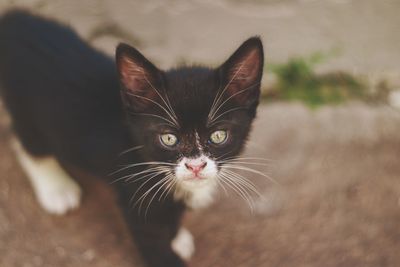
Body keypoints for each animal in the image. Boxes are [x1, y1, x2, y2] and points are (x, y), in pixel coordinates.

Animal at [0, 9, 262, 267]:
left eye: (218, 135)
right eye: (169, 138)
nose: (195, 166)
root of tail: (14, 20)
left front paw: (176, 237)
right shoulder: (134, 192)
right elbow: (153, 242)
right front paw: (170, 247)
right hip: (24, 108)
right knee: (28, 140)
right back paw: (55, 188)